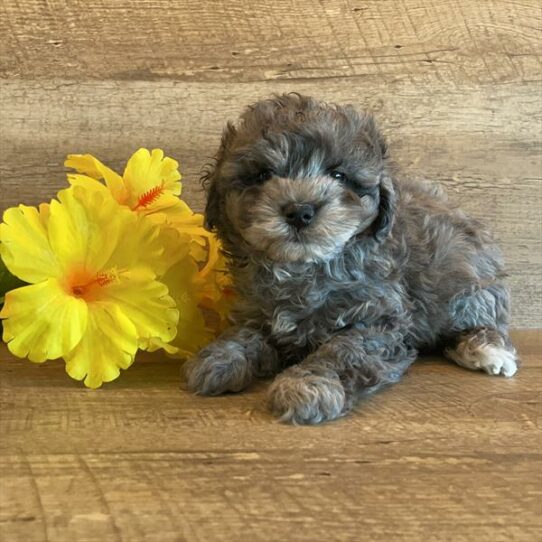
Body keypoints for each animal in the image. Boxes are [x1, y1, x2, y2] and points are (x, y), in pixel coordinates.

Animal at [185, 93, 520, 424]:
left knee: (479, 321)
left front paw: (307, 385)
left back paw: (488, 351)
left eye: (338, 175)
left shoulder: (379, 321)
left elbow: (342, 351)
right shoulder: (257, 311)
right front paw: (220, 358)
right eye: (263, 175)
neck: (304, 267)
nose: (300, 211)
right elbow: (245, 334)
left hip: (473, 290)